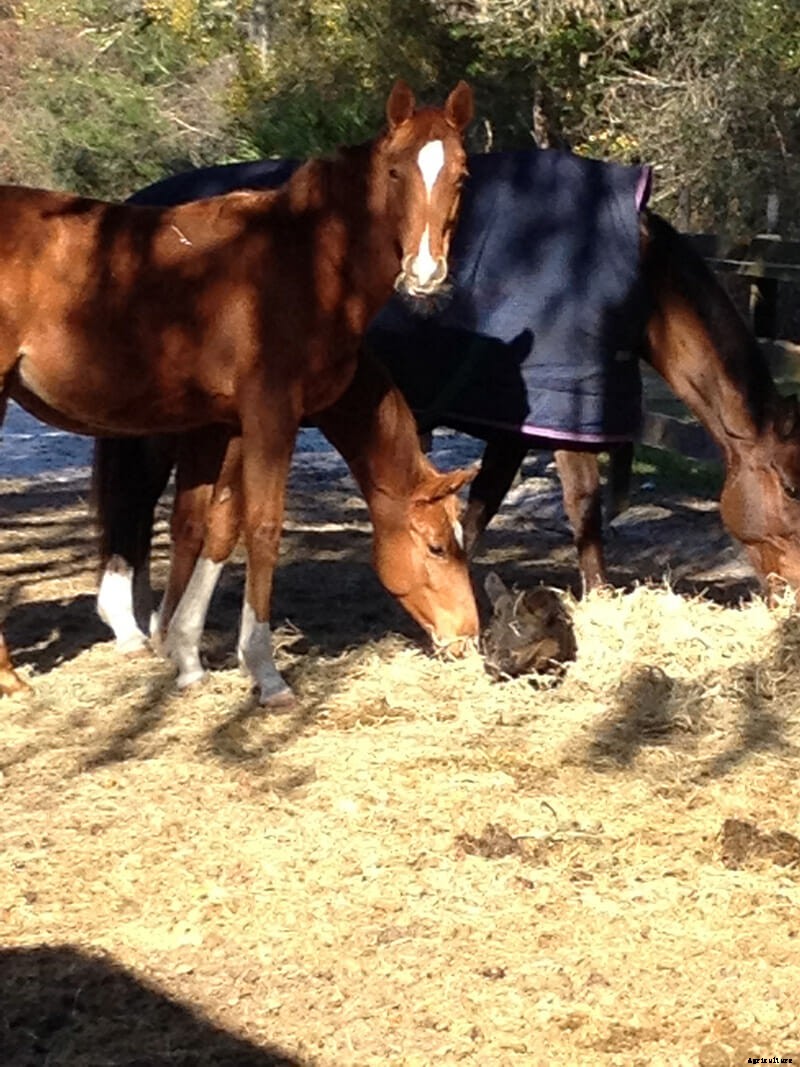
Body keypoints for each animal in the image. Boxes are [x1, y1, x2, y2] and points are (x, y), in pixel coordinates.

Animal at [0, 79, 479, 702]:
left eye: (462, 175)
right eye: (436, 547)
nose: (425, 273)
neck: (308, 262)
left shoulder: (226, 424)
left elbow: (216, 528)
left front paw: (185, 657)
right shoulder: (272, 415)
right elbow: (263, 527)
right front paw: (265, 671)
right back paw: (11, 678)